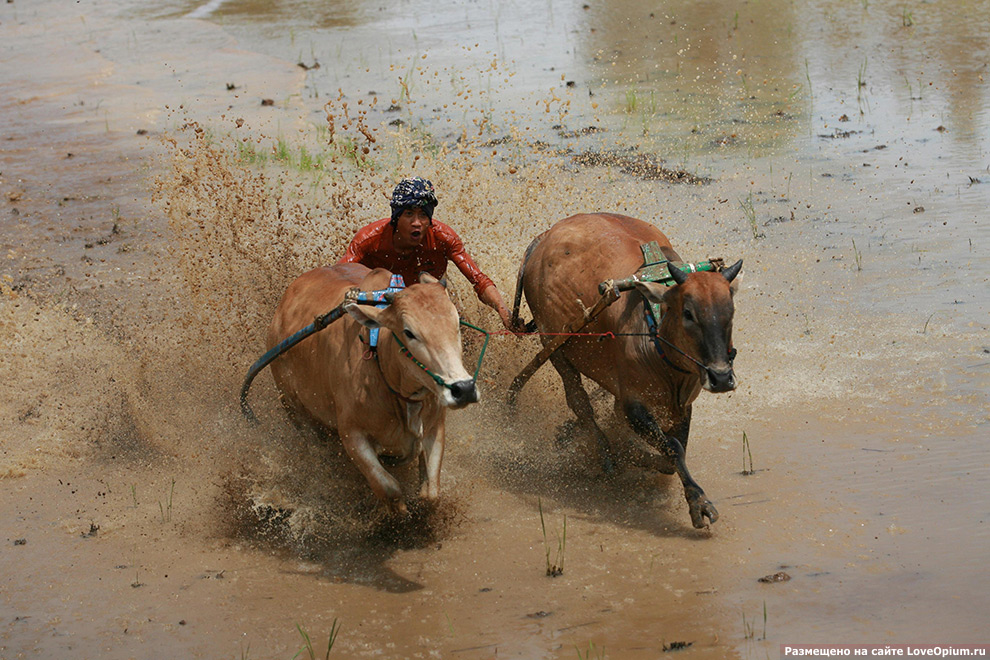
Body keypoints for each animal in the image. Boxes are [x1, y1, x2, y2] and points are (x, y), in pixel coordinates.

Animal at [268, 262, 476, 516]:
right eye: (409, 332)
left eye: (457, 324)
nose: (464, 388)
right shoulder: (352, 434)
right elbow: (389, 488)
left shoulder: (435, 427)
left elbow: (431, 493)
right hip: (295, 411)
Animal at [516, 214, 740, 528]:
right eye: (688, 313)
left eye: (730, 311)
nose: (721, 378)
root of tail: (543, 238)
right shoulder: (634, 405)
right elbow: (672, 448)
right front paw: (699, 503)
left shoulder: (682, 405)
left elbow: (673, 454)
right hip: (554, 345)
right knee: (579, 402)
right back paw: (604, 453)